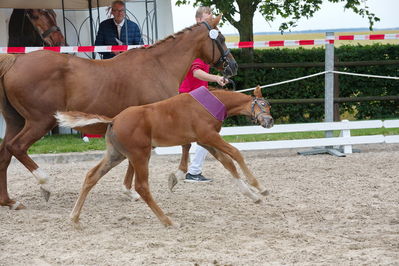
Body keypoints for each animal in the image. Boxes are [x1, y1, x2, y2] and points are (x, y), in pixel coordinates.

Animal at [56, 87, 274, 227]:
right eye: (263, 104)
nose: (270, 121)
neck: (210, 104)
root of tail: (114, 119)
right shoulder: (209, 136)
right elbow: (236, 153)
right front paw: (260, 187)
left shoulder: (205, 141)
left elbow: (228, 163)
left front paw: (254, 196)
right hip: (140, 155)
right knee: (142, 187)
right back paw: (168, 221)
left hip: (116, 155)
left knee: (91, 176)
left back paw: (74, 218)